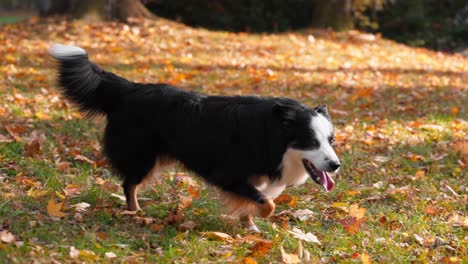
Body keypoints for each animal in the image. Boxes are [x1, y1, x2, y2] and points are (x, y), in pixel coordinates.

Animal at [48, 44, 340, 232]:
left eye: (331, 140)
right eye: (311, 141)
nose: (336, 165)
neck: (271, 134)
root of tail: (130, 89)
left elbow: (253, 200)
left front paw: (248, 226)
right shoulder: (227, 174)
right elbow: (266, 203)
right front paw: (257, 217)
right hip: (142, 156)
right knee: (129, 184)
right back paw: (135, 212)